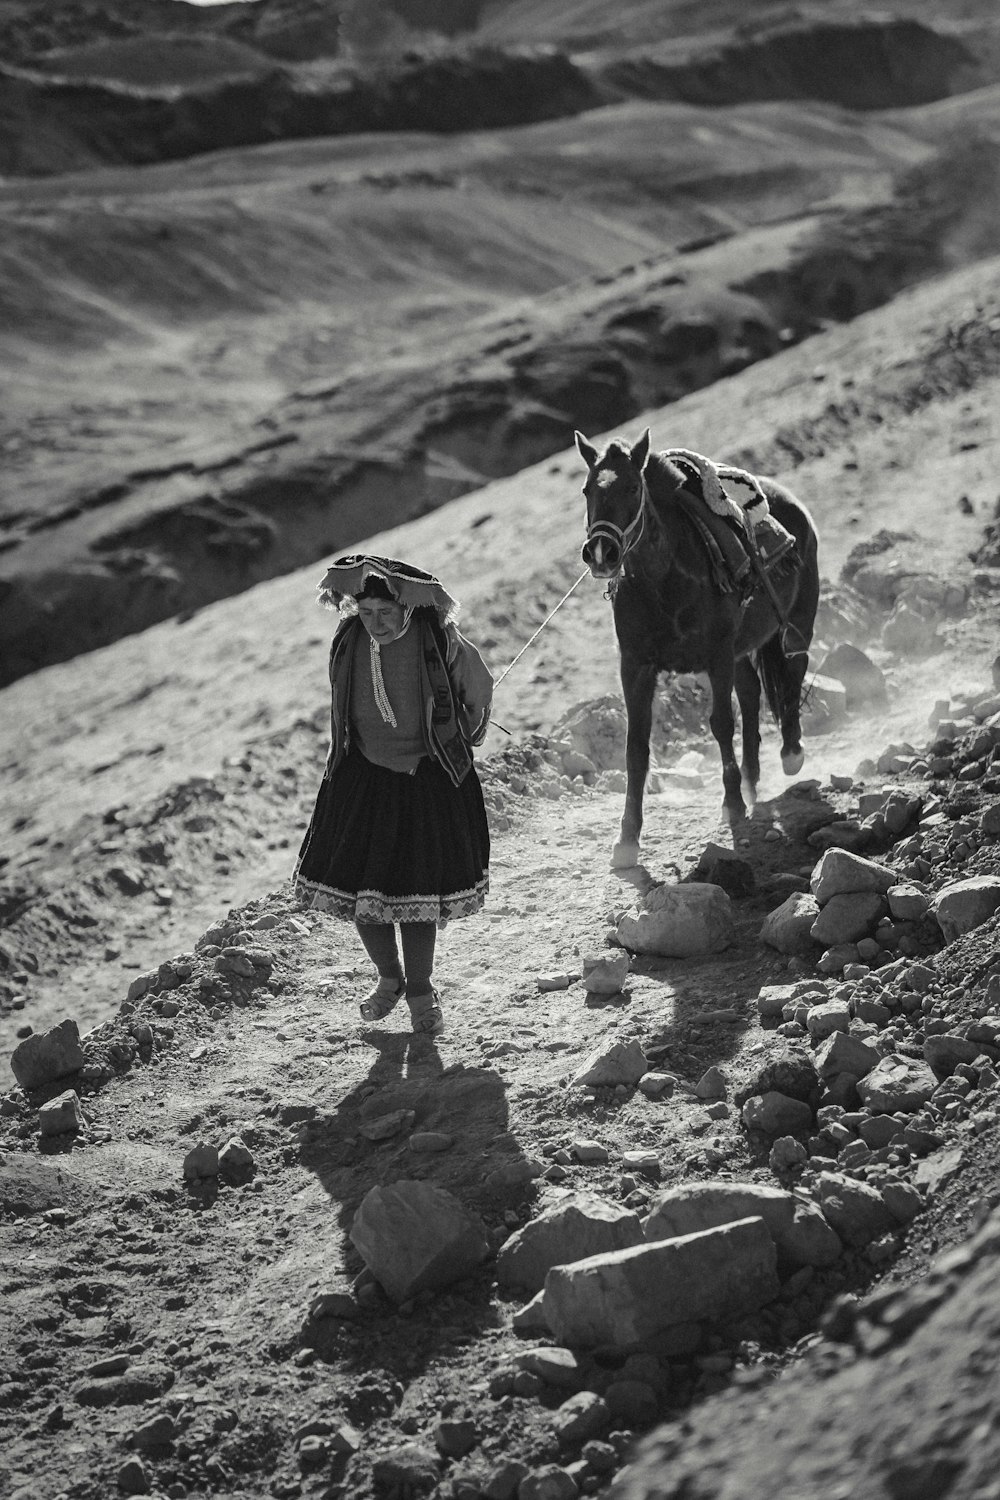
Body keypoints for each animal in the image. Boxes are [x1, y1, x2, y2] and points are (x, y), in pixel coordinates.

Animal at [569, 429, 821, 870]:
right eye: (587, 490)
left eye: (633, 487)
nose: (601, 552)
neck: (664, 578)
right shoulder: (636, 666)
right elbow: (636, 746)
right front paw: (627, 839)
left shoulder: (716, 655)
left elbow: (721, 723)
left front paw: (732, 804)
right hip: (742, 649)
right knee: (752, 694)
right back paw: (753, 778)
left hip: (796, 623)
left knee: (792, 673)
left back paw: (790, 754)